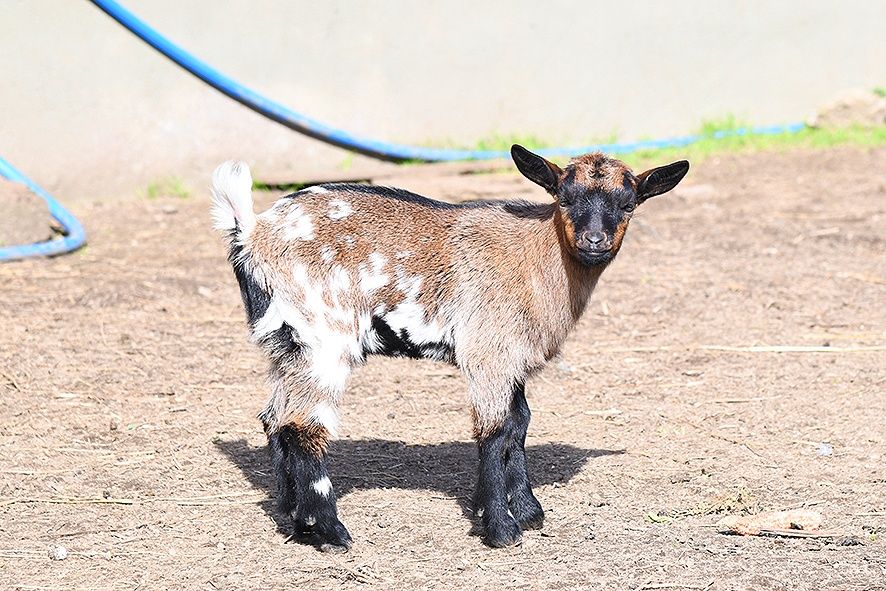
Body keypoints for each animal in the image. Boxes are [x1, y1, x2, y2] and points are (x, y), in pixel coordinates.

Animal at [211, 145, 689, 550]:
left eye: (628, 204)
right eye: (564, 198)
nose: (594, 241)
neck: (535, 256)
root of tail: (252, 232)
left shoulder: (510, 358)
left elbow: (519, 423)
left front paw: (525, 510)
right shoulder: (488, 352)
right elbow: (495, 430)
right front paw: (501, 528)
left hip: (286, 344)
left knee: (275, 419)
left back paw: (293, 520)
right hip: (324, 337)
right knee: (304, 426)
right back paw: (330, 532)